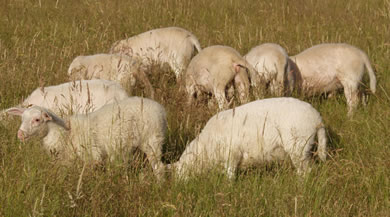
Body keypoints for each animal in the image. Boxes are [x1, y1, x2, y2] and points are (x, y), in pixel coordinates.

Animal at [6, 96, 168, 180]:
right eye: (22, 118)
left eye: (37, 120)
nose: (20, 134)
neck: (65, 134)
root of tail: (161, 109)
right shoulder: (67, 162)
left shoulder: (92, 158)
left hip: (152, 140)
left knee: (159, 168)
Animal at [169, 97, 328, 179]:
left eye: (182, 171)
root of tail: (317, 118)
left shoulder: (232, 154)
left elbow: (230, 174)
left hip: (298, 146)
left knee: (306, 171)